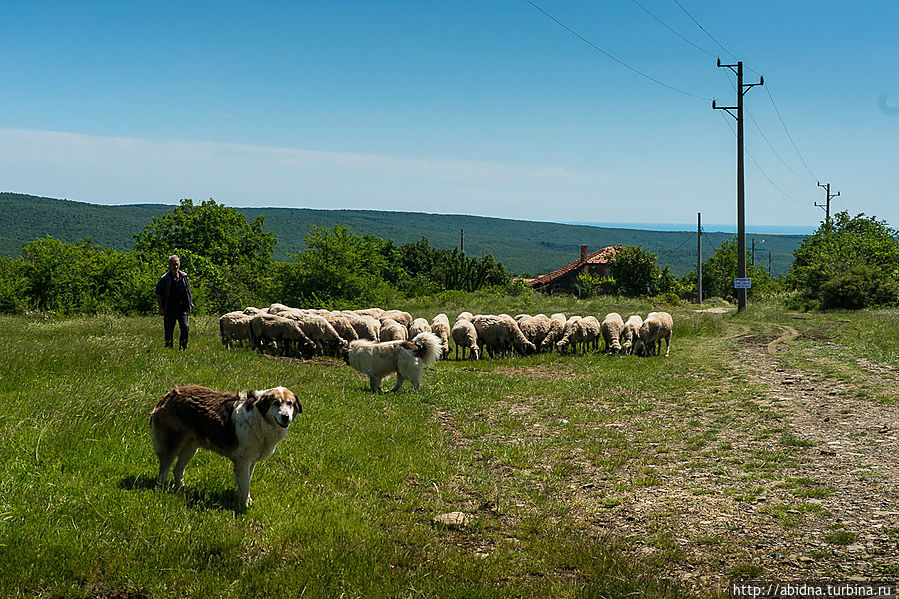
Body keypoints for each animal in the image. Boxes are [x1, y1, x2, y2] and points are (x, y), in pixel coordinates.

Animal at [149, 386, 300, 508]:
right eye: (276, 403)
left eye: (290, 404)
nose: (285, 416)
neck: (260, 419)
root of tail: (169, 394)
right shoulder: (243, 461)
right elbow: (245, 485)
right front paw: (244, 505)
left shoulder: (251, 461)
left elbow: (246, 481)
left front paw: (246, 500)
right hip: (172, 444)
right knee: (164, 469)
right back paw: (162, 489)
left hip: (190, 447)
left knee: (177, 469)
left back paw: (182, 489)